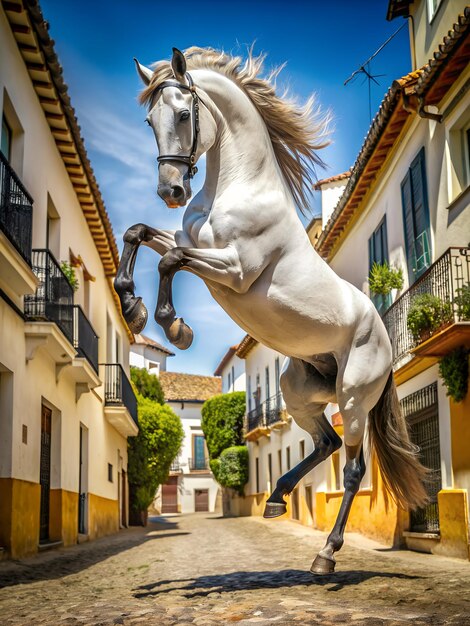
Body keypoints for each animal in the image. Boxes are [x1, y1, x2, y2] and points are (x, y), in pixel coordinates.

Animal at [114, 47, 430, 576]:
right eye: (149, 119)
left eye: (183, 115)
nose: (171, 192)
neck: (236, 188)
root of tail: (385, 339)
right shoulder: (193, 245)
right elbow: (138, 233)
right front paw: (131, 305)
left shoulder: (234, 270)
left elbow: (170, 259)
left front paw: (174, 326)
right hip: (300, 392)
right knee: (324, 444)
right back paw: (279, 497)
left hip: (353, 397)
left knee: (352, 467)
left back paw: (326, 554)